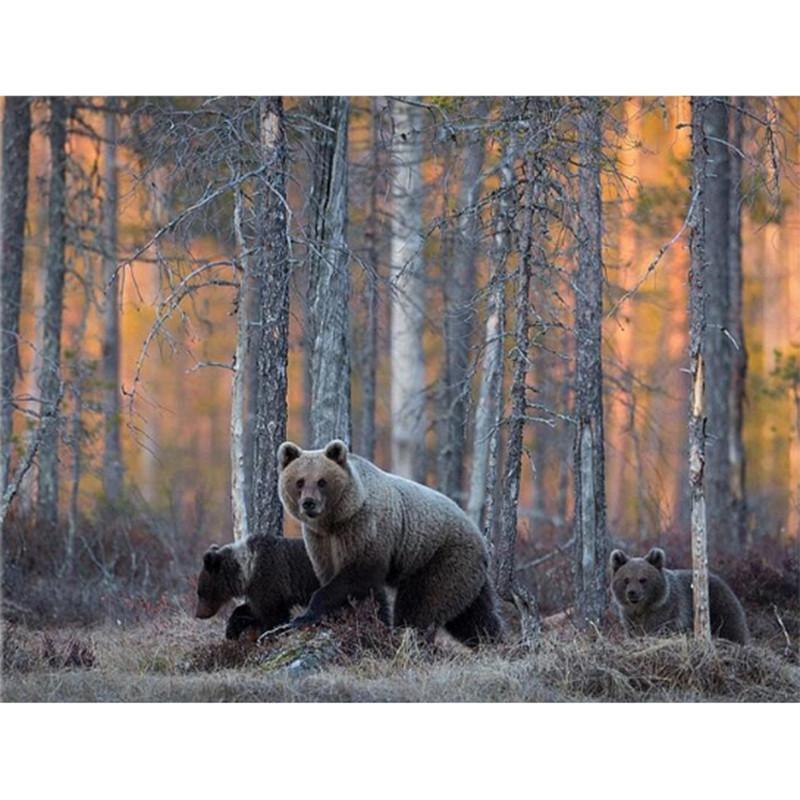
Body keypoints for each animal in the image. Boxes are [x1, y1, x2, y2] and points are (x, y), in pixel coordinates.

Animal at [277, 439, 503, 647]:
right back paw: (493, 642)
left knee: (422, 604)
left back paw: (410, 637)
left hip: (441, 557)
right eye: (299, 482)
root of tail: (480, 537)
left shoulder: (365, 529)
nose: (309, 503)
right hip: (468, 574)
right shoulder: (320, 541)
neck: (336, 520)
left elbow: (357, 576)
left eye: (322, 481)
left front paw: (305, 616)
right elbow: (346, 582)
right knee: (473, 615)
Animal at [609, 546, 749, 644]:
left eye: (642, 579)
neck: (643, 608)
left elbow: (659, 628)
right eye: (626, 579)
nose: (632, 592)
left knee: (732, 628)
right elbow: (633, 631)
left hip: (721, 606)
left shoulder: (666, 610)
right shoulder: (628, 616)